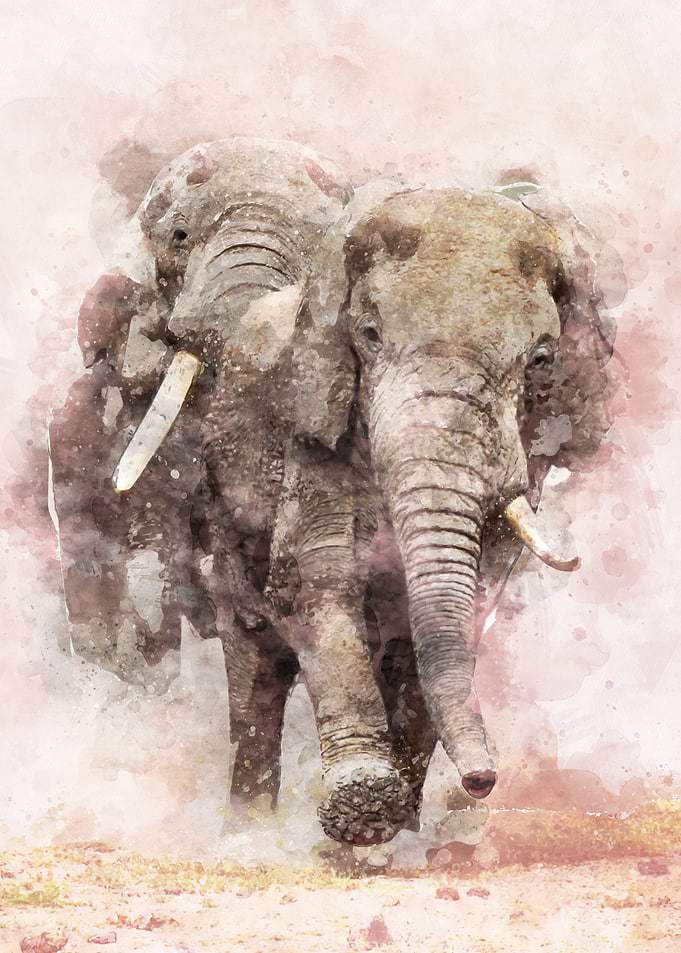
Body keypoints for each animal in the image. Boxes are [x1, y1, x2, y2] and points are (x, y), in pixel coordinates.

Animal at [113, 161, 619, 843]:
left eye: (541, 361)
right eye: (370, 337)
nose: (482, 782)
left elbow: (462, 600)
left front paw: (395, 824)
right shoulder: (313, 423)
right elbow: (317, 581)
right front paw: (363, 806)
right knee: (254, 652)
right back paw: (250, 829)